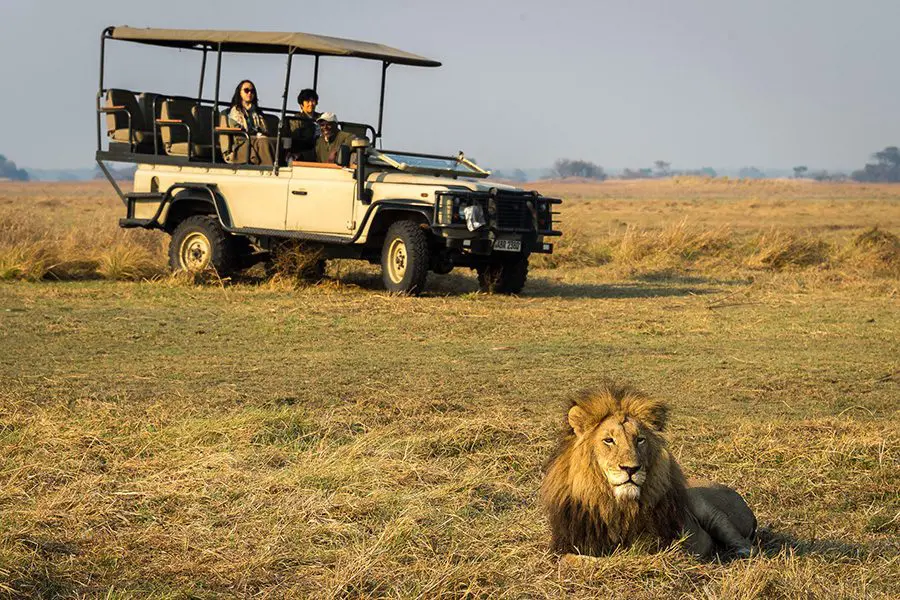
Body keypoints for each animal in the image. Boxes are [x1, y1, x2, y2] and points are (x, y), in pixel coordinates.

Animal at [539, 382, 756, 559]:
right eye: (609, 440)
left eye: (640, 440)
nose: (631, 468)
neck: (616, 505)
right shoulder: (570, 544)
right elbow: (575, 559)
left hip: (707, 508)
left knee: (746, 544)